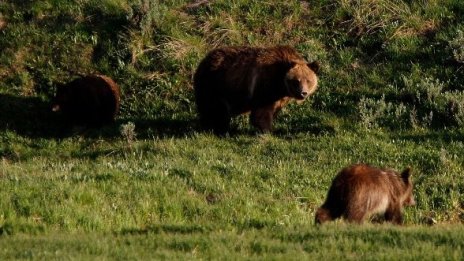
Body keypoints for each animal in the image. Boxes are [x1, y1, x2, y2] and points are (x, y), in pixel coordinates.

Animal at [192, 44, 320, 133]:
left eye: (308, 80)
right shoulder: (264, 86)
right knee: (215, 109)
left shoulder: (278, 96)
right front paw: (268, 130)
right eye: (296, 81)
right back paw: (217, 129)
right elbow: (261, 112)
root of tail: (204, 60)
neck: (280, 83)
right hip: (215, 85)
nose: (303, 93)